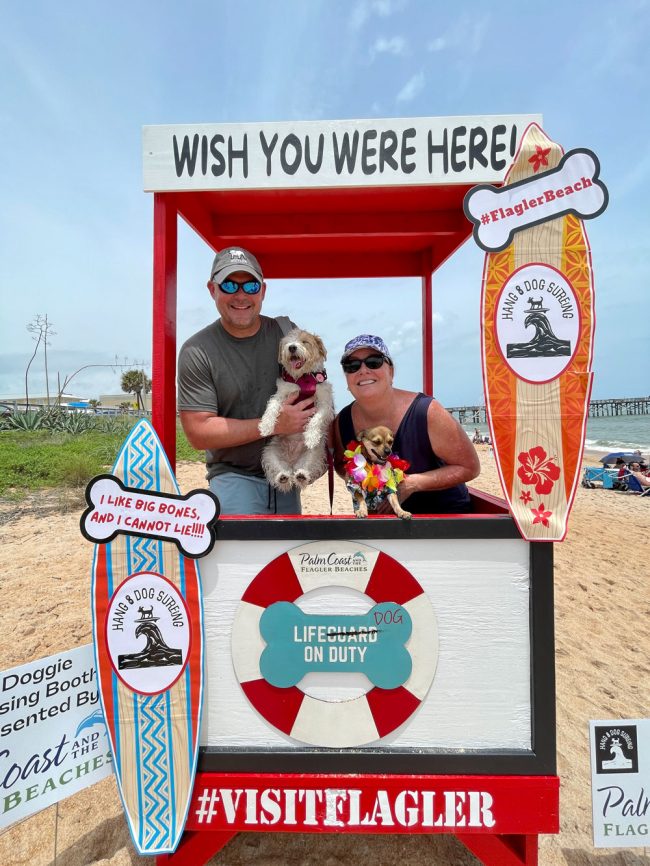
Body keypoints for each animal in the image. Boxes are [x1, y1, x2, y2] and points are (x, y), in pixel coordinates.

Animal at [256, 330, 334, 492]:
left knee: (304, 469)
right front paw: (266, 426)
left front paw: (311, 436)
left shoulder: (325, 403)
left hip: (315, 453)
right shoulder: (281, 394)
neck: (303, 378)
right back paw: (283, 477)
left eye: (305, 342)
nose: (292, 347)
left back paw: (302, 475)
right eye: (287, 342)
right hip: (269, 453)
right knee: (279, 470)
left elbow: (316, 419)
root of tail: (292, 464)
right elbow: (272, 406)